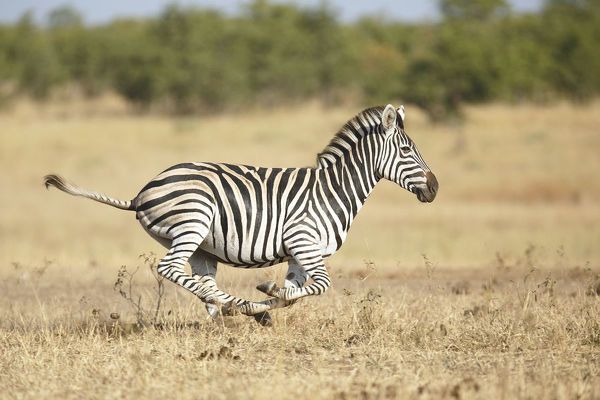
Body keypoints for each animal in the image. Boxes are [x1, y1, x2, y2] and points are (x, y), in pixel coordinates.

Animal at [43, 104, 436, 326]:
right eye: (406, 151)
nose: (434, 188)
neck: (334, 189)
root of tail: (141, 193)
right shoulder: (304, 242)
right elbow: (319, 286)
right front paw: (267, 296)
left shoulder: (298, 254)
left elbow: (296, 292)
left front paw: (271, 300)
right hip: (193, 221)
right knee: (170, 270)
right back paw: (238, 306)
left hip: (200, 245)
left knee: (202, 282)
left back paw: (232, 310)